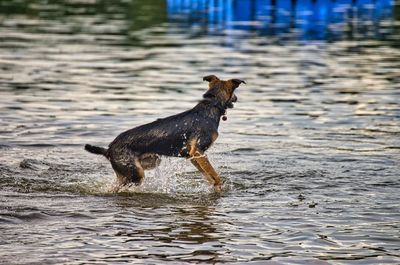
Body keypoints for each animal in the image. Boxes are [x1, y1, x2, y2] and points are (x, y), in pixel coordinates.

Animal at [85, 75, 244, 191]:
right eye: (235, 93)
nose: (237, 99)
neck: (212, 104)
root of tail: (108, 150)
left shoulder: (194, 156)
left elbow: (209, 176)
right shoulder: (198, 151)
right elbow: (215, 176)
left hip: (148, 164)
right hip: (135, 174)